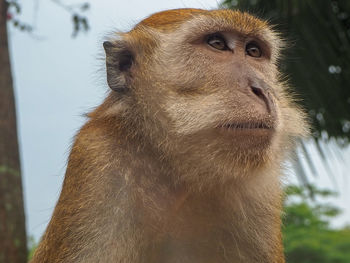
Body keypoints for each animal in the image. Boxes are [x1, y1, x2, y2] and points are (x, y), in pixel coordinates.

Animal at [31, 8, 308, 263]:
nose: (263, 89)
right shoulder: (99, 158)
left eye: (253, 51)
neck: (181, 172)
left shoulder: (260, 192)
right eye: (217, 44)